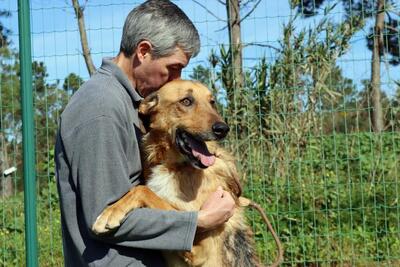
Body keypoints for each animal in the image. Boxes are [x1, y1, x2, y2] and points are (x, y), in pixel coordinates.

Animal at [92, 80, 282, 267]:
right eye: (186, 101)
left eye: (212, 102)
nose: (223, 129)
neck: (175, 167)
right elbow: (143, 191)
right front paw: (112, 209)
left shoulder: (198, 250)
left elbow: (144, 191)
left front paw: (109, 213)